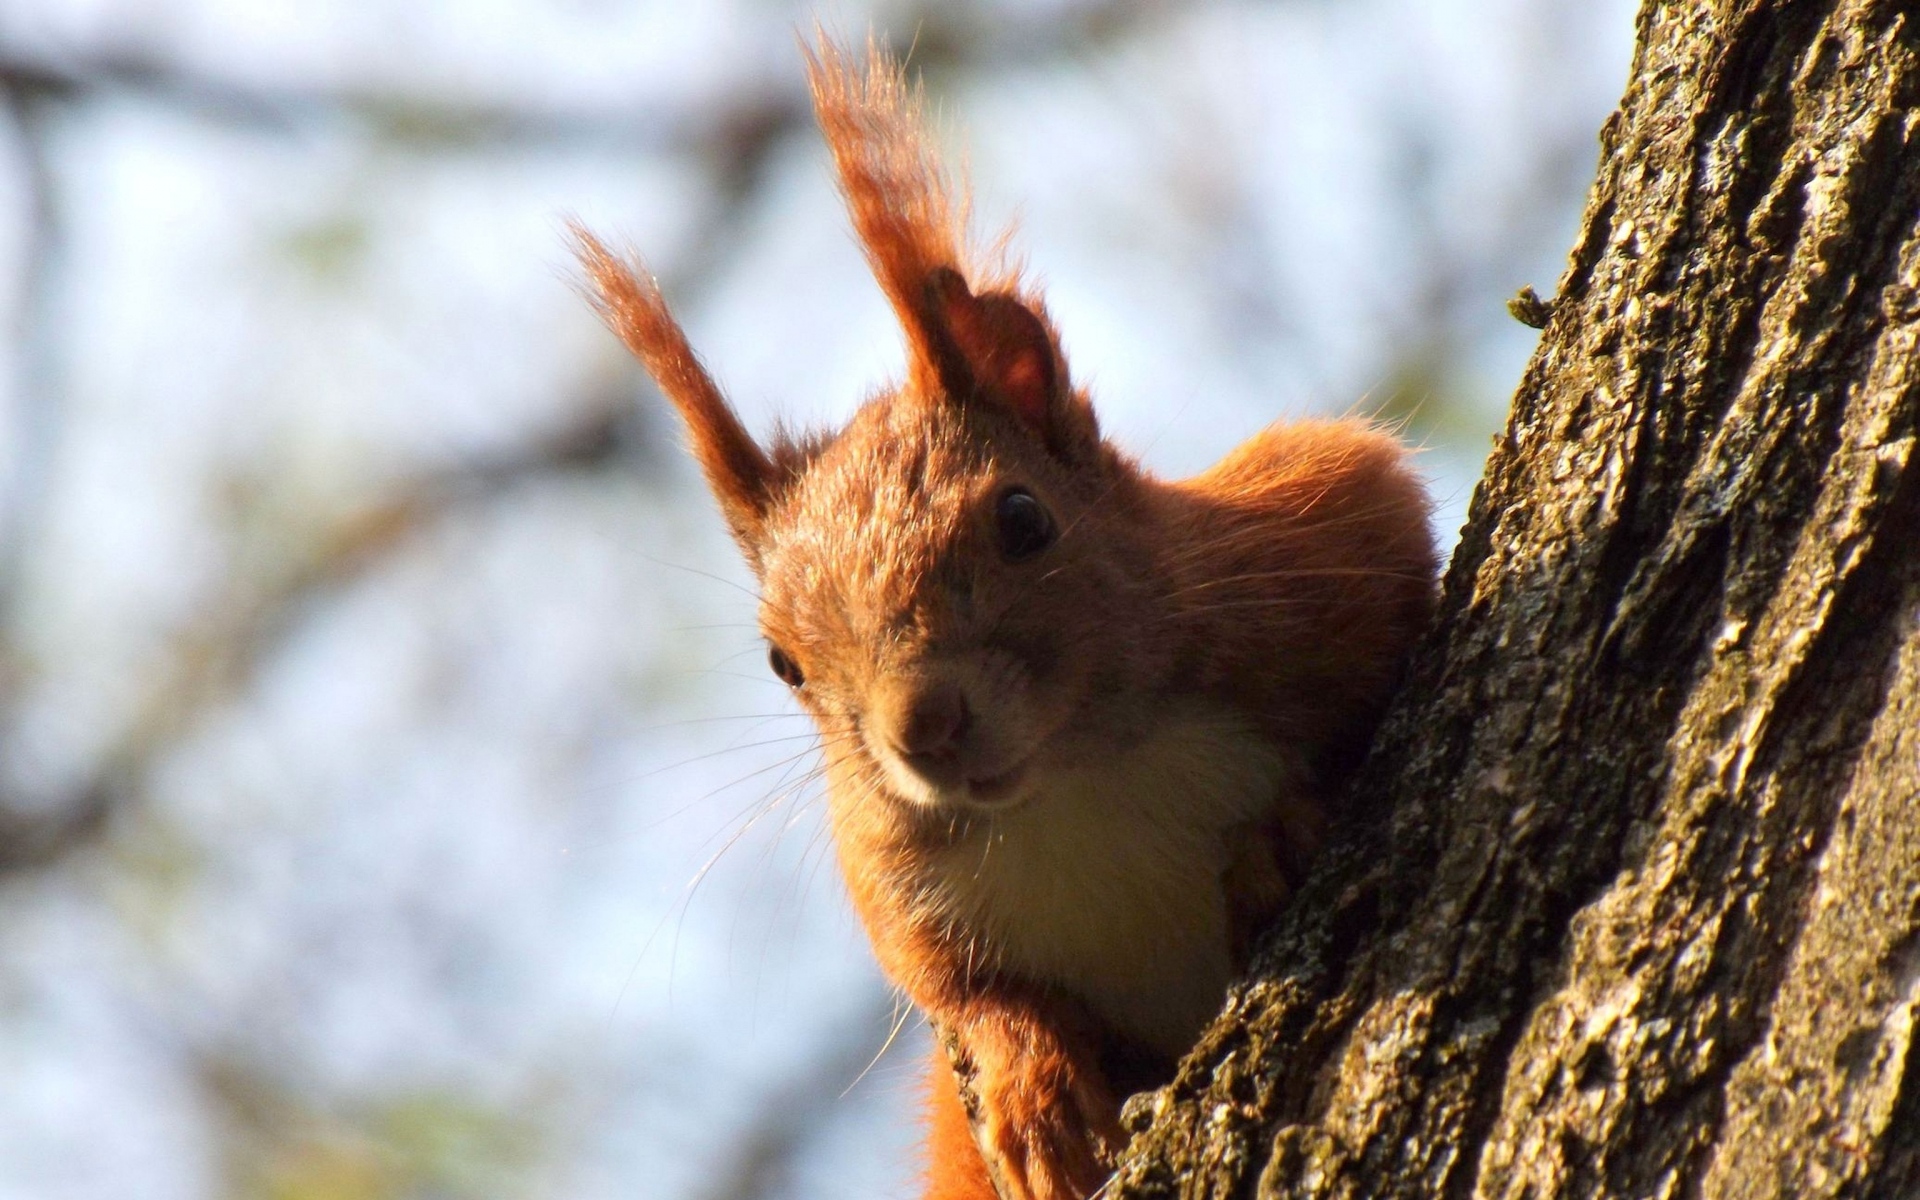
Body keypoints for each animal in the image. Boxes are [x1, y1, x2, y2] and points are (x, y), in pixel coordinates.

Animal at [574, 36, 1437, 1200]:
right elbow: (957, 989)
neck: (1077, 781)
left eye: (1024, 519)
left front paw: (1282, 832)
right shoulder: (890, 866)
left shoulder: (1319, 527)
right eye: (781, 663)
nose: (924, 729)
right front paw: (1031, 1082)